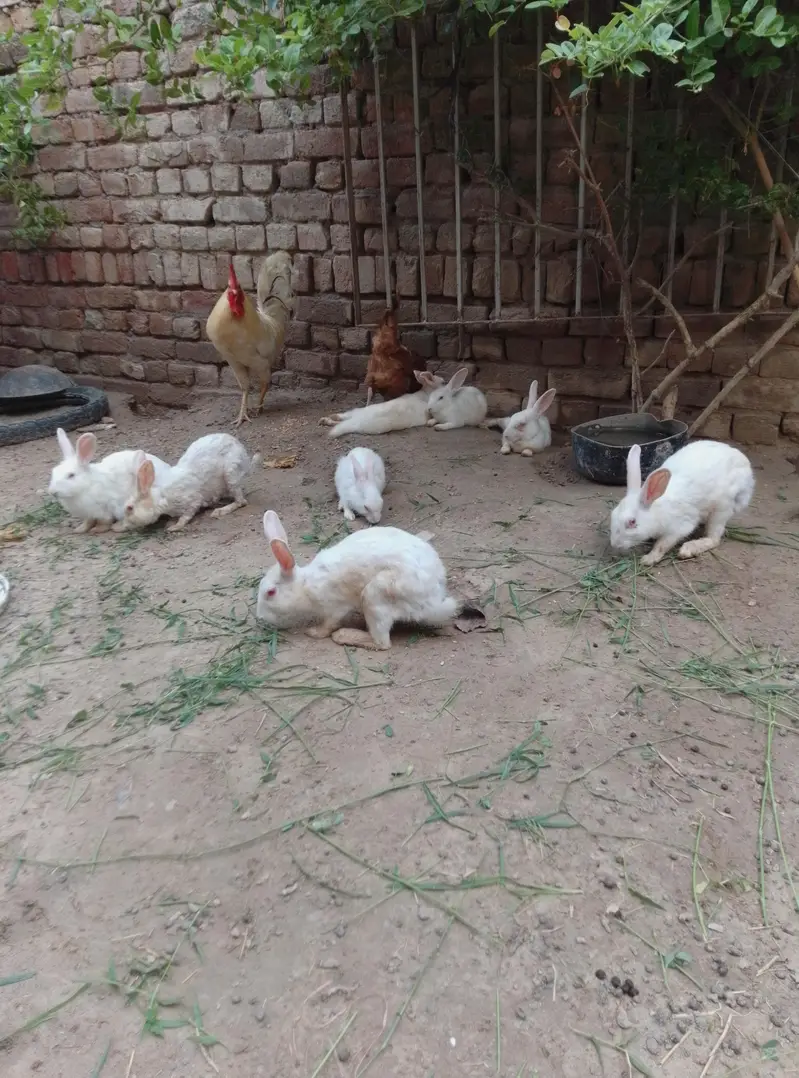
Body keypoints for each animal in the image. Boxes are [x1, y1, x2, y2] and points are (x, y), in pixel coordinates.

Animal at [119, 432, 261, 532]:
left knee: (241, 501)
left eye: (130, 508)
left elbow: (186, 516)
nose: (118, 528)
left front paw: (174, 527)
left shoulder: (192, 501)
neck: (160, 497)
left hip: (231, 474)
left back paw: (219, 511)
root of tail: (246, 461)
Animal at [256, 509, 458, 650]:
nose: (260, 617)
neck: (305, 585)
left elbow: (328, 624)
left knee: (382, 643)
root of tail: (432, 603)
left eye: (270, 592)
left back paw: (344, 636)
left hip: (376, 595)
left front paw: (313, 633)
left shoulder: (334, 607)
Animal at [610, 439, 755, 566]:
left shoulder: (678, 527)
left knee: (714, 538)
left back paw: (689, 548)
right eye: (612, 514)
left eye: (632, 522)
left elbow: (662, 544)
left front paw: (648, 559)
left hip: (722, 508)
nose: (614, 544)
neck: (657, 510)